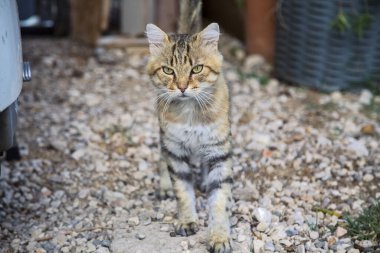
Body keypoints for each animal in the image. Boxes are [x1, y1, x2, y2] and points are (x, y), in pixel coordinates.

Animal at [145, 10, 233, 253]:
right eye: (168, 70)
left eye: (197, 69)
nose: (182, 87)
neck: (190, 112)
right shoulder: (175, 149)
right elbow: (183, 191)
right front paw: (186, 220)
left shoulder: (219, 151)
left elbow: (219, 200)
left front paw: (219, 236)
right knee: (161, 157)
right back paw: (165, 185)